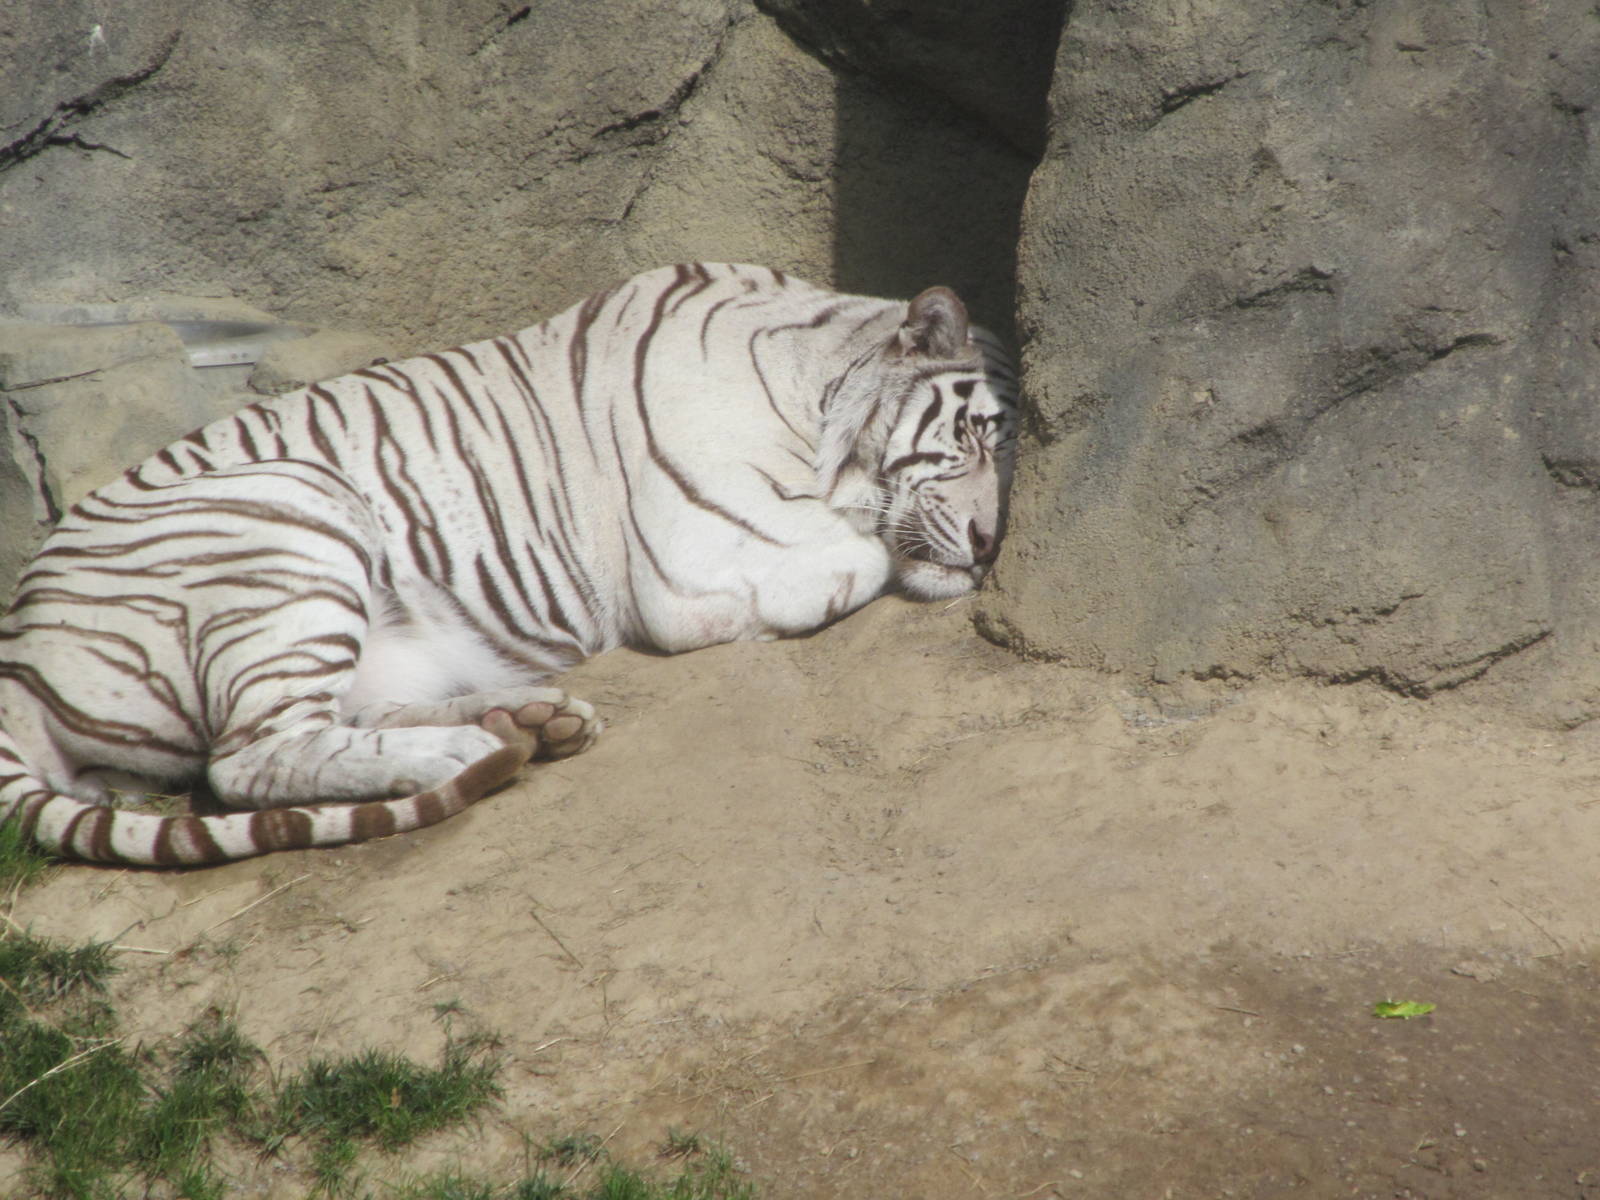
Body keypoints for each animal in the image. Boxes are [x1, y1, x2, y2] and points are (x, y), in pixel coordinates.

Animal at [0, 262, 1017, 866]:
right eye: (972, 437)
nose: (988, 546)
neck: (817, 388)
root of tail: (16, 646)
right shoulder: (697, 557)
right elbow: (859, 552)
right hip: (293, 515)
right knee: (251, 761)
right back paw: (472, 747)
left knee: (333, 723)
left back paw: (524, 722)